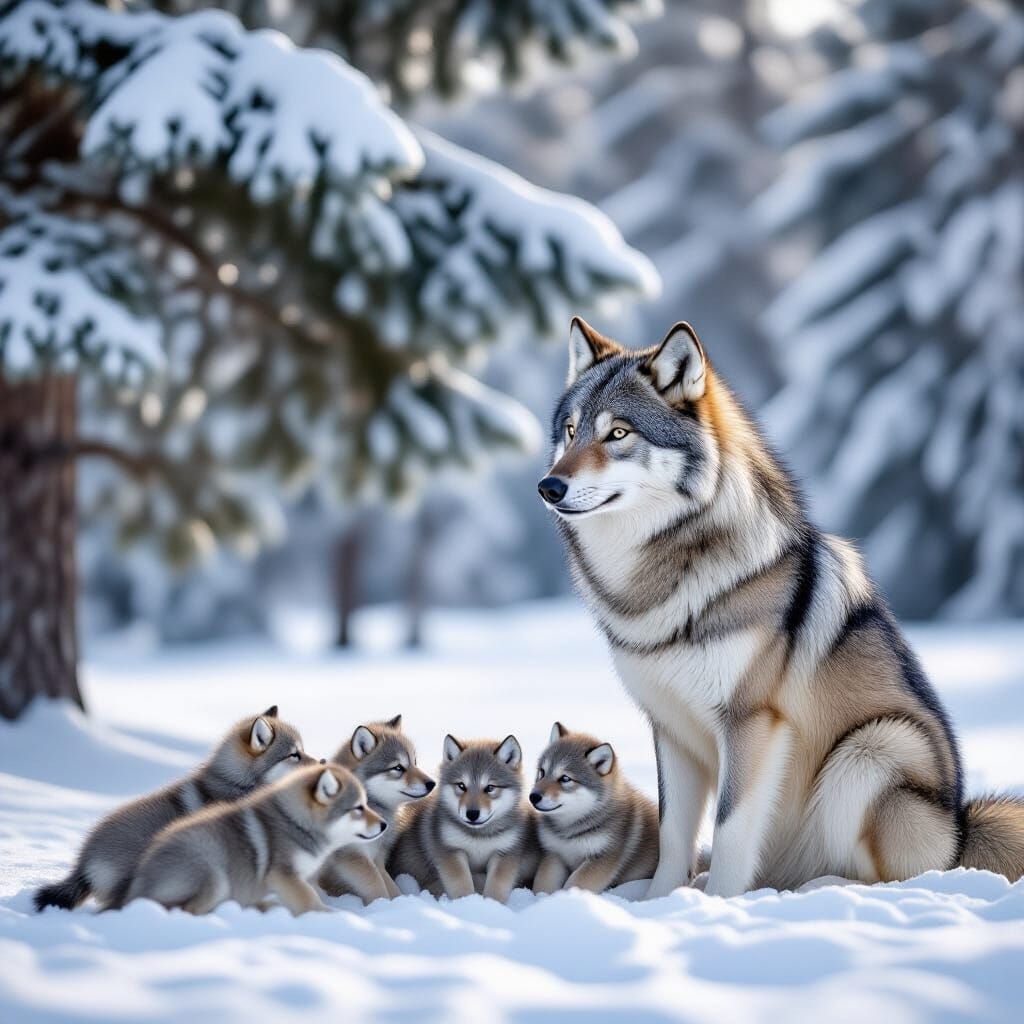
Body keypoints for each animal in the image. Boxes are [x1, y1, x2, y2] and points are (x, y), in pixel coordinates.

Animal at [123, 763, 384, 915]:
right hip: (215, 876)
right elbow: (309, 900)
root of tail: (138, 884)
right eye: (358, 808)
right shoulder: (283, 874)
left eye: (366, 803)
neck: (296, 823)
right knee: (189, 909)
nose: (384, 824)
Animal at [317, 715, 435, 903]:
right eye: (398, 767)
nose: (432, 783)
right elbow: (377, 887)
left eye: (415, 762)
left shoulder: (377, 857)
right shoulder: (353, 857)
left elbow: (391, 888)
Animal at [388, 735, 537, 902]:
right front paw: (467, 902)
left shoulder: (505, 852)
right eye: (461, 786)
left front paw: (492, 904)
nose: (472, 814)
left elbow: (497, 886)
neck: (479, 835)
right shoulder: (451, 850)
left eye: (490, 788)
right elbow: (461, 883)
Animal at [530, 722, 658, 893]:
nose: (533, 796)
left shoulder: (602, 858)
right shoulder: (554, 854)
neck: (569, 831)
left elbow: (574, 883)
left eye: (565, 778)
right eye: (542, 772)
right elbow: (544, 883)